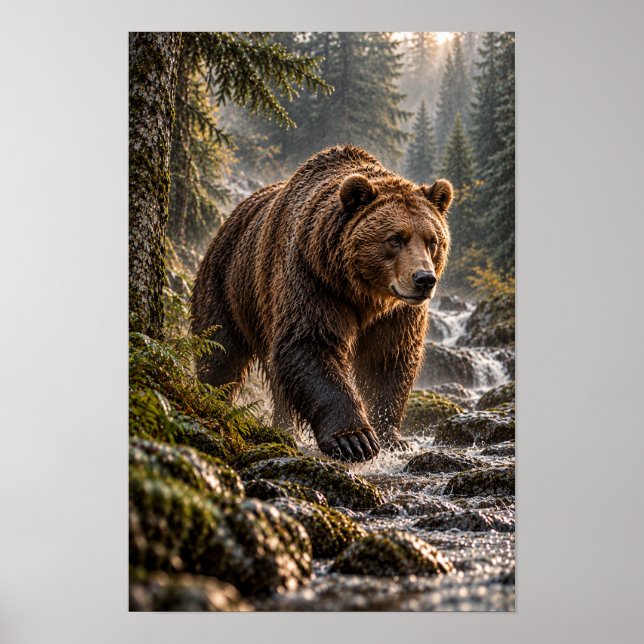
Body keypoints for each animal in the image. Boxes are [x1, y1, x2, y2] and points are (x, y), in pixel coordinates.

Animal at [191, 145, 453, 463]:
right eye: (395, 239)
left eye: (432, 240)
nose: (424, 279)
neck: (365, 292)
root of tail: (231, 217)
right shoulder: (314, 279)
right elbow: (311, 343)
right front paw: (355, 440)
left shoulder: (397, 312)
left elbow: (388, 359)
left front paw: (392, 437)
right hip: (229, 283)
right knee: (219, 349)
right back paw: (214, 398)